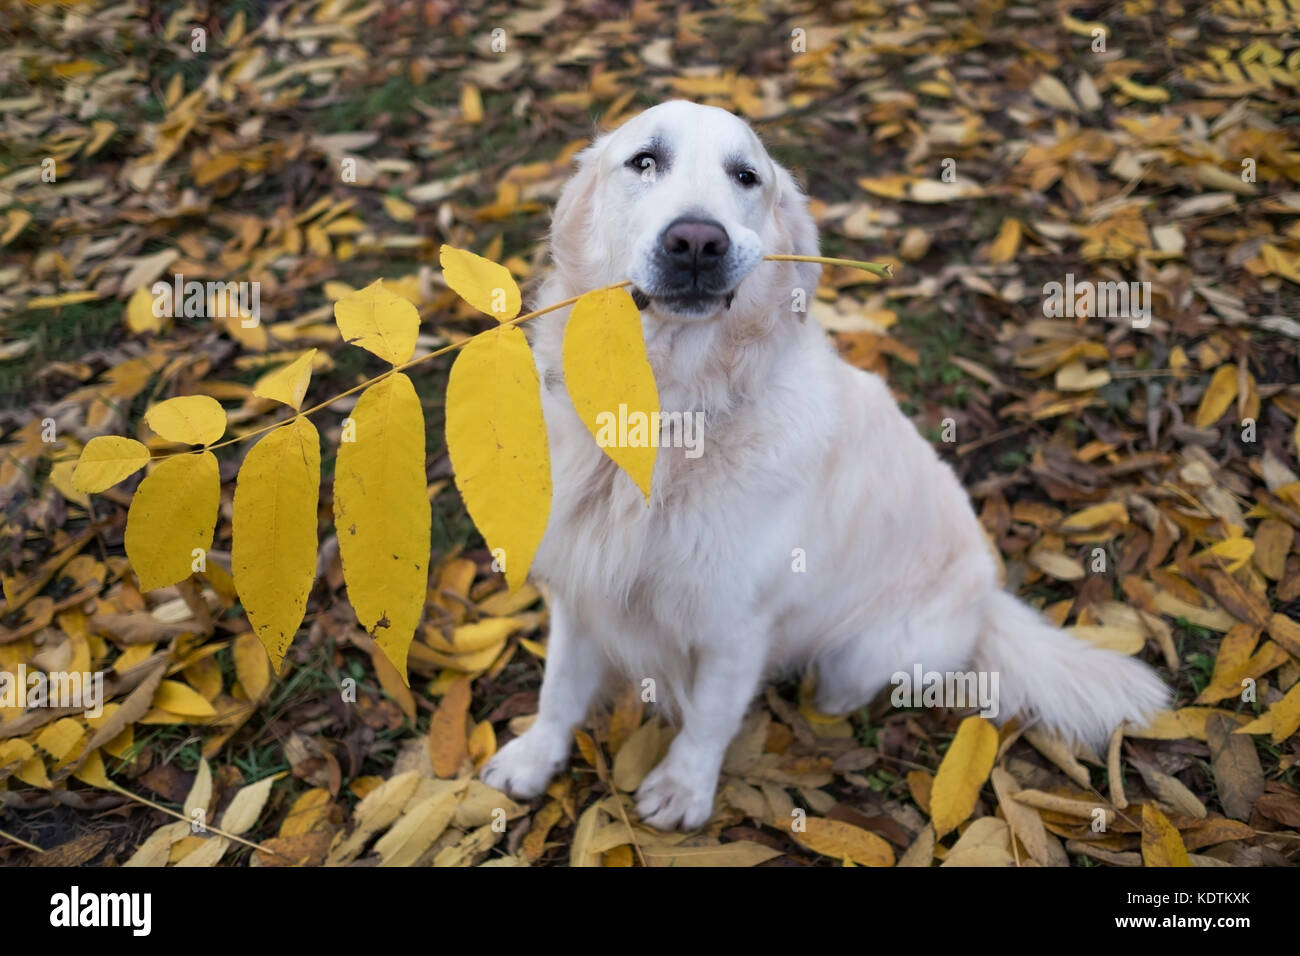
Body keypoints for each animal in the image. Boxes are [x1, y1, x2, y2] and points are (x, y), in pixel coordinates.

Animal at [478, 98, 1170, 832]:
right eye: (645, 161)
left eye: (746, 176)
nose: (696, 242)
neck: (670, 412)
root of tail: (989, 601)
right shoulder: (579, 592)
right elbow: (559, 688)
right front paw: (532, 758)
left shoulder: (736, 625)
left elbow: (710, 717)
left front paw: (684, 789)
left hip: (868, 650)